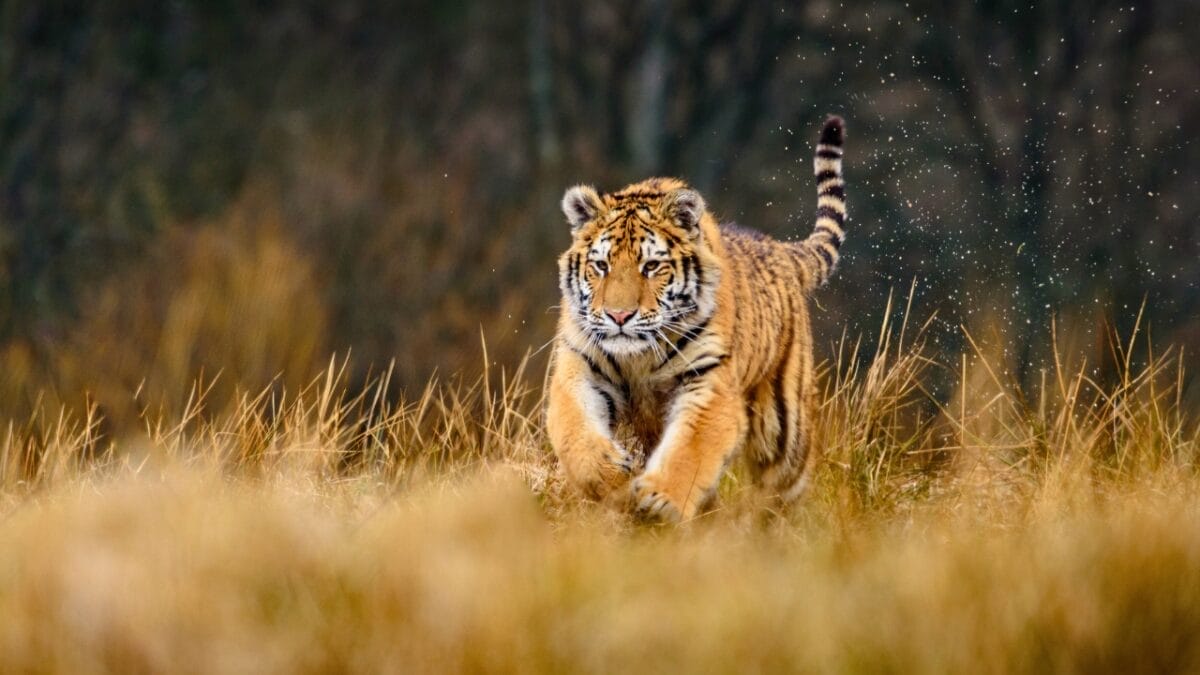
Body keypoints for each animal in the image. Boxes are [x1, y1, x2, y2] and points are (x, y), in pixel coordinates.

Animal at [546, 115, 847, 522]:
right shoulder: (581, 367)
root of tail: (781, 250)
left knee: (786, 486)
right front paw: (611, 476)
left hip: (785, 431)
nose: (619, 315)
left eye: (650, 267)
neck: (639, 355)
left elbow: (691, 448)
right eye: (601, 266)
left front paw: (661, 500)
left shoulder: (709, 382)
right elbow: (574, 428)